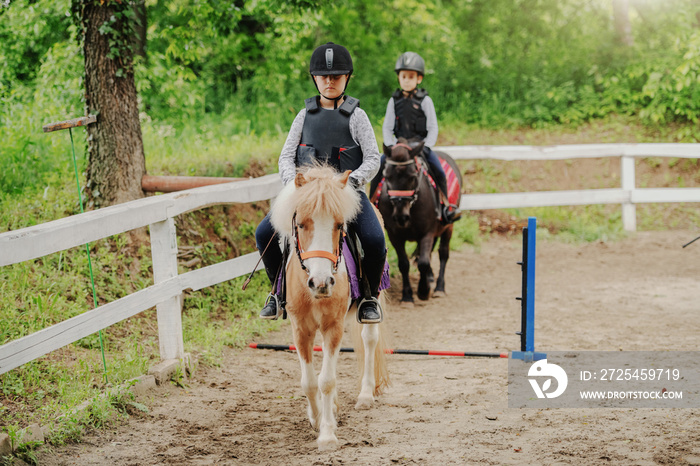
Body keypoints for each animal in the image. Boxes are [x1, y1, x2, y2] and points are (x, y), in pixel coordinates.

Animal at [268, 166, 388, 450]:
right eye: (301, 225)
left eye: (339, 225)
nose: (321, 283)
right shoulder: (301, 329)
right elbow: (310, 382)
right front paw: (317, 417)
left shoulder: (333, 326)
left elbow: (326, 380)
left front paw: (327, 434)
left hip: (372, 301)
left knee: (369, 339)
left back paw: (365, 395)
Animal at [378, 138, 464, 302]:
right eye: (387, 176)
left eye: (412, 176)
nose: (401, 217)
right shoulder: (394, 235)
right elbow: (404, 264)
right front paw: (407, 296)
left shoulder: (427, 233)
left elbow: (423, 262)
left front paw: (423, 291)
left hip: (448, 227)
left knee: (443, 254)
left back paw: (439, 288)